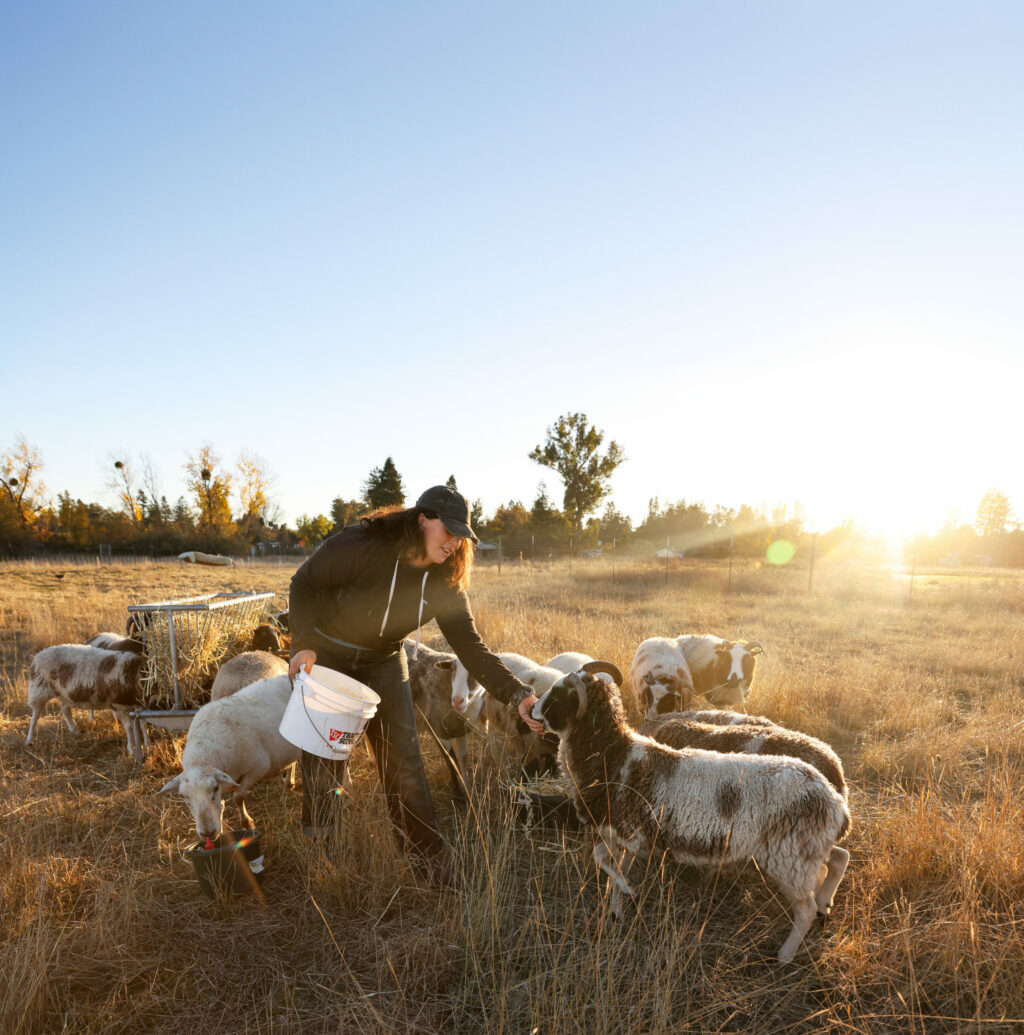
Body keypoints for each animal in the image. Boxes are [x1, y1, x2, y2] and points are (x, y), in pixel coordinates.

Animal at [157, 670, 298, 840]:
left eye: (214, 789)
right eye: (184, 797)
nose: (208, 834)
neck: (201, 758)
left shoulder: (257, 768)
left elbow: (238, 796)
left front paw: (247, 823)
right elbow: (223, 806)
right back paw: (289, 783)